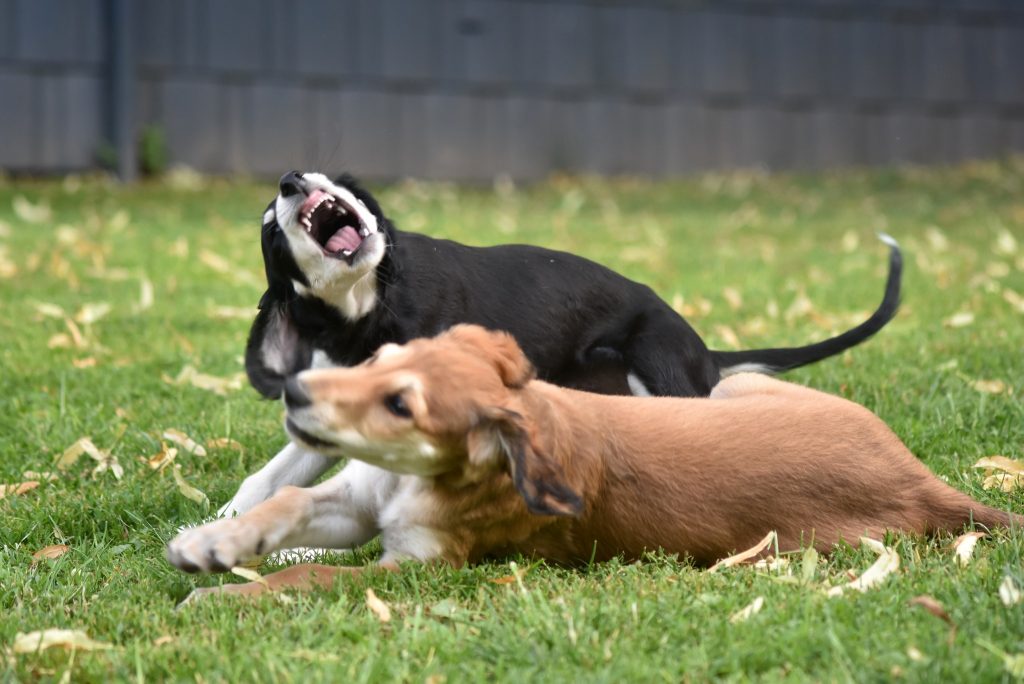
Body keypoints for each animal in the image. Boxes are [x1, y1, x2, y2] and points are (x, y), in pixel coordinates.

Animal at [167, 325, 1018, 599]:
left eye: (401, 404)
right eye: (378, 357)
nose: (294, 393)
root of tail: (922, 481)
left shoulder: (421, 567)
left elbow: (312, 573)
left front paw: (225, 595)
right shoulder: (357, 499)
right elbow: (288, 505)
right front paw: (211, 545)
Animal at [219, 171, 902, 517]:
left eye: (330, 174)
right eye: (268, 228)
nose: (290, 178)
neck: (373, 303)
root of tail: (703, 350)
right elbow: (273, 474)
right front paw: (227, 521)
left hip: (655, 363)